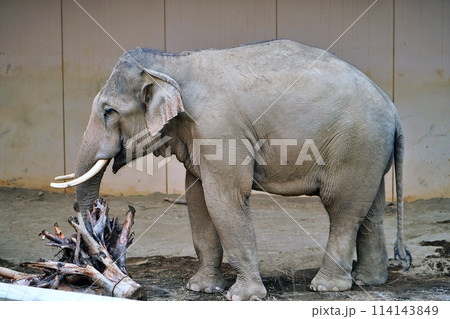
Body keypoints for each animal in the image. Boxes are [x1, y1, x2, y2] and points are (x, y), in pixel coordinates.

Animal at [51, 38, 410, 302]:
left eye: (108, 112)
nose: (96, 255)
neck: (171, 63)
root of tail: (393, 108)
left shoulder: (219, 129)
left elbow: (225, 198)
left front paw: (242, 296)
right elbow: (197, 199)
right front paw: (200, 288)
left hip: (355, 144)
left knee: (342, 207)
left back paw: (327, 287)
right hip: (369, 150)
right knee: (371, 207)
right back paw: (369, 279)